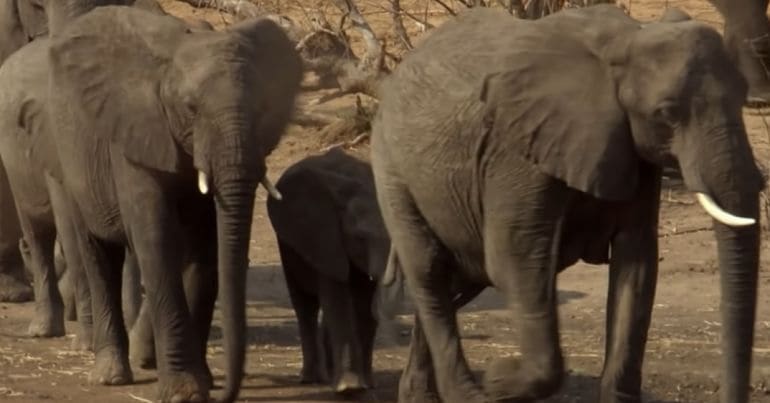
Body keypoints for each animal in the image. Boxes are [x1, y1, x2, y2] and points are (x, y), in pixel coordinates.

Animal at [44, 6, 304, 403]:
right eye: (191, 109)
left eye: (263, 108)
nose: (227, 393)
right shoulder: (135, 137)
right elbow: (157, 240)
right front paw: (185, 392)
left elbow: (205, 249)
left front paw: (203, 383)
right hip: (68, 151)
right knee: (97, 251)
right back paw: (110, 376)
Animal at [266, 148, 400, 394]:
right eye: (359, 237)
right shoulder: (325, 239)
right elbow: (337, 298)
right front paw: (349, 386)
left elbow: (362, 305)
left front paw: (366, 384)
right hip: (288, 247)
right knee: (305, 305)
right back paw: (312, 379)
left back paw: (330, 375)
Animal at [370, 5, 760, 403]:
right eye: (666, 113)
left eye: (743, 96)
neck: (627, 40)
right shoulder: (517, 151)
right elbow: (516, 259)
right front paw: (499, 378)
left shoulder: (631, 151)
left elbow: (636, 264)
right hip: (390, 166)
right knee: (429, 270)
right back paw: (468, 394)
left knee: (459, 279)